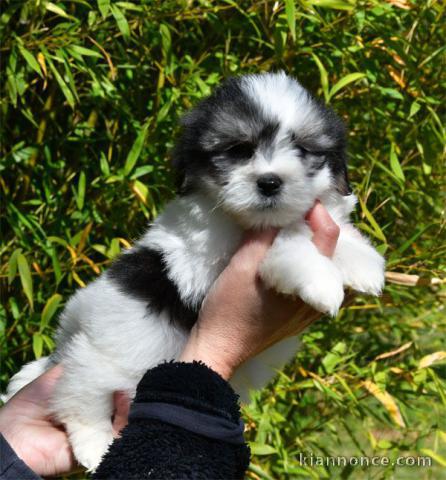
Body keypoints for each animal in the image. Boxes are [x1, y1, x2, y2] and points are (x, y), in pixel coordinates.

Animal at [3, 71, 386, 468]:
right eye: (239, 150)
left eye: (303, 149)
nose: (269, 181)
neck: (250, 222)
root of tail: (60, 348)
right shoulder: (208, 258)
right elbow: (290, 240)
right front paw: (320, 278)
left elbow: (331, 229)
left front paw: (362, 261)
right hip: (97, 359)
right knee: (78, 397)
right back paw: (94, 447)